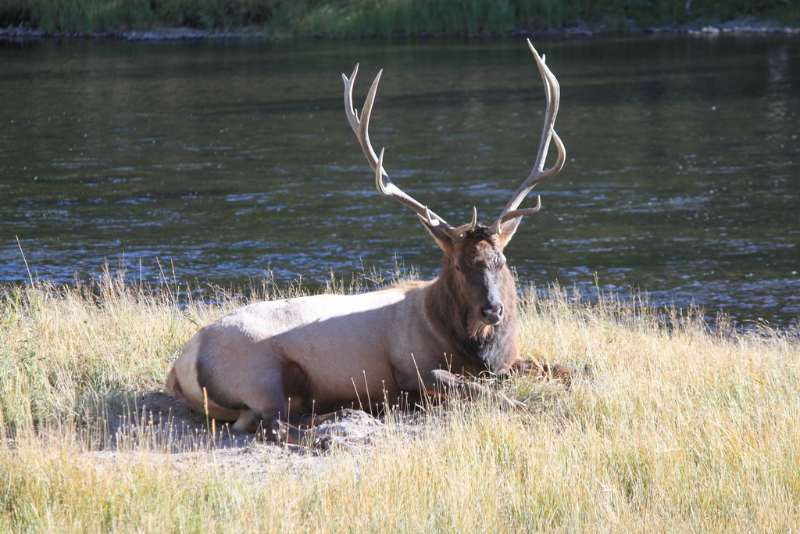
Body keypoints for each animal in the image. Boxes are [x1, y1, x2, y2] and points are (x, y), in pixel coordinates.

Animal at [166, 40, 568, 448]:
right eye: (458, 265)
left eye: (501, 260)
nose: (492, 310)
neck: (477, 349)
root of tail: (179, 368)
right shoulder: (413, 368)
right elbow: (487, 392)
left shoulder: (512, 359)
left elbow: (562, 368)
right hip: (258, 372)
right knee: (272, 425)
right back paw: (333, 431)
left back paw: (341, 414)